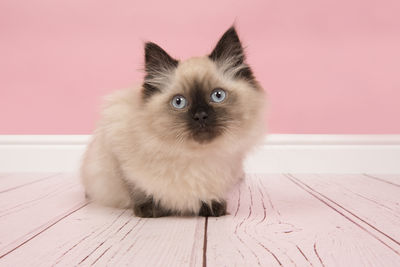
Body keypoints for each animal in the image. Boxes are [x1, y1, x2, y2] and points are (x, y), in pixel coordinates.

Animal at [80, 25, 266, 218]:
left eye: (217, 96)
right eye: (179, 102)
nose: (200, 116)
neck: (193, 155)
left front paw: (211, 206)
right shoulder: (119, 158)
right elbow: (138, 188)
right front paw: (149, 209)